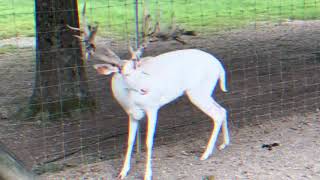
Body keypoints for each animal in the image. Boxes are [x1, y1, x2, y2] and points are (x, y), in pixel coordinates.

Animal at [92, 45, 230, 179]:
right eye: (126, 74)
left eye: (140, 71)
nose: (145, 89)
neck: (131, 101)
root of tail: (219, 66)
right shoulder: (132, 115)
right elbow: (130, 141)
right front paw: (122, 173)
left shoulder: (152, 108)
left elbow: (148, 141)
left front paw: (147, 175)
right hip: (205, 94)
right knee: (222, 110)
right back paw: (224, 144)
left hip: (198, 93)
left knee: (217, 114)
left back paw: (205, 154)